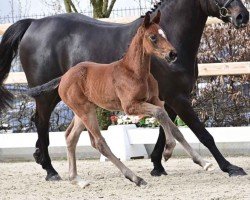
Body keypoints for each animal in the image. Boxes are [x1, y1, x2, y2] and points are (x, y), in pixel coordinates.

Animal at [27, 10, 211, 186]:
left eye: (164, 34)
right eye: (153, 37)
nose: (172, 54)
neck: (134, 72)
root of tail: (63, 77)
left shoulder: (156, 100)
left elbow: (174, 127)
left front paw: (203, 162)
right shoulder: (130, 106)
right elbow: (160, 114)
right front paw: (168, 151)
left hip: (83, 111)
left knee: (71, 137)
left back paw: (77, 180)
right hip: (85, 111)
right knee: (99, 142)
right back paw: (135, 178)